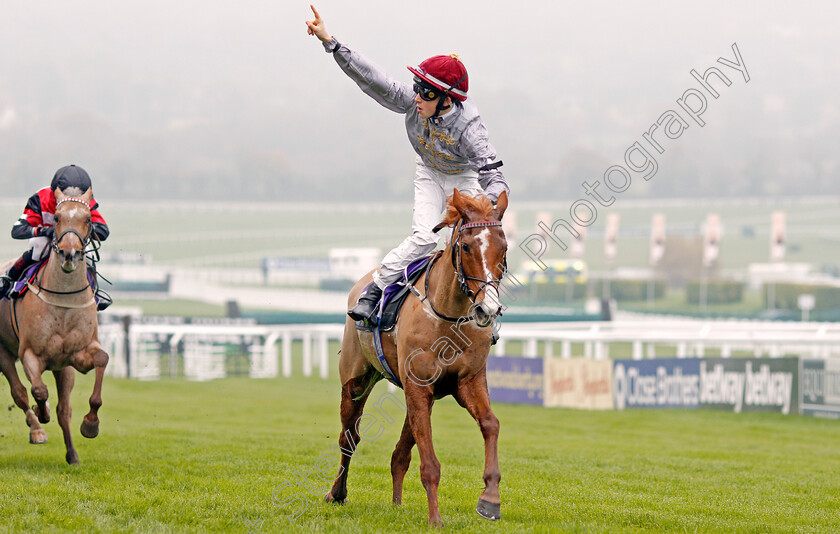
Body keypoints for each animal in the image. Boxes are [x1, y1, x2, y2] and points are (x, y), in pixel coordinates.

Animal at [0, 188, 109, 464]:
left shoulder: (76, 357)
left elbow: (101, 359)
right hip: (3, 353)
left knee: (63, 409)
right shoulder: (29, 353)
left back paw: (72, 453)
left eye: (88, 219)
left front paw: (91, 424)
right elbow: (38, 391)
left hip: (63, 368)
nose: (70, 254)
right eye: (57, 217)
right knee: (20, 393)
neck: (64, 300)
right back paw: (37, 429)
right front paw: (41, 414)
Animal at [326, 188, 508, 528]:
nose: (487, 309)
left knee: (400, 452)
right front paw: (435, 517)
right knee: (349, 436)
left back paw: (396, 504)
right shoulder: (418, 384)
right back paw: (337, 493)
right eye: (466, 246)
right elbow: (430, 462)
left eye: (503, 247)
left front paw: (490, 499)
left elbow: (491, 424)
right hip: (356, 379)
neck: (448, 315)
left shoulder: (466, 381)